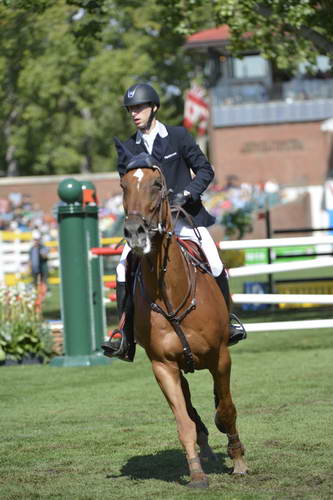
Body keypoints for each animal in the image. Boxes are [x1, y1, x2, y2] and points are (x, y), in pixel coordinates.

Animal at [119, 153, 246, 488]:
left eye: (157, 184)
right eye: (123, 185)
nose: (135, 232)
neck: (169, 292)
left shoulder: (220, 357)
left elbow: (227, 410)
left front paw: (239, 460)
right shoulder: (163, 367)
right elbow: (183, 421)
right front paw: (197, 473)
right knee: (189, 405)